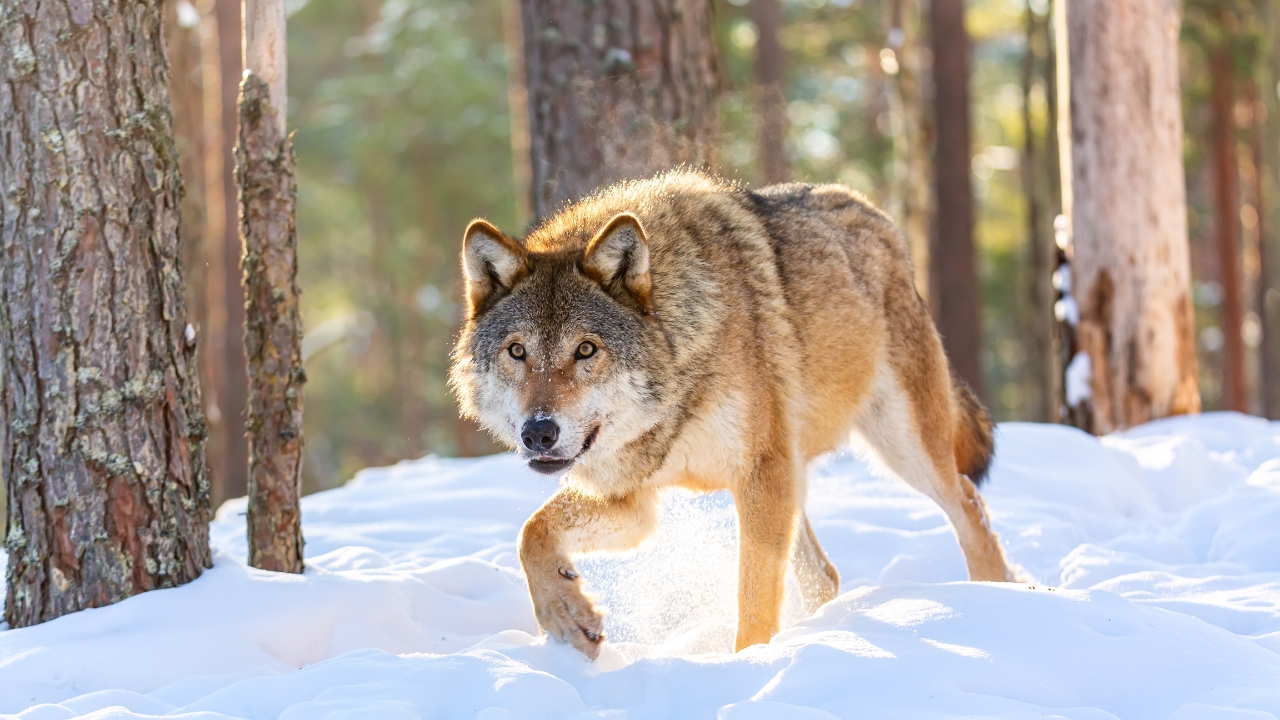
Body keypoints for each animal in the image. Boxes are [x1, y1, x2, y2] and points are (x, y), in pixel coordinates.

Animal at [450, 171, 1015, 659]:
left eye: (586, 350)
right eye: (517, 351)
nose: (539, 433)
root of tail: (876, 213)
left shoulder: (759, 476)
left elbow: (754, 599)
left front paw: (745, 666)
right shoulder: (632, 501)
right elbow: (530, 533)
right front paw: (567, 616)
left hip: (899, 447)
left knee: (970, 505)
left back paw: (999, 603)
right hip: (802, 475)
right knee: (825, 575)